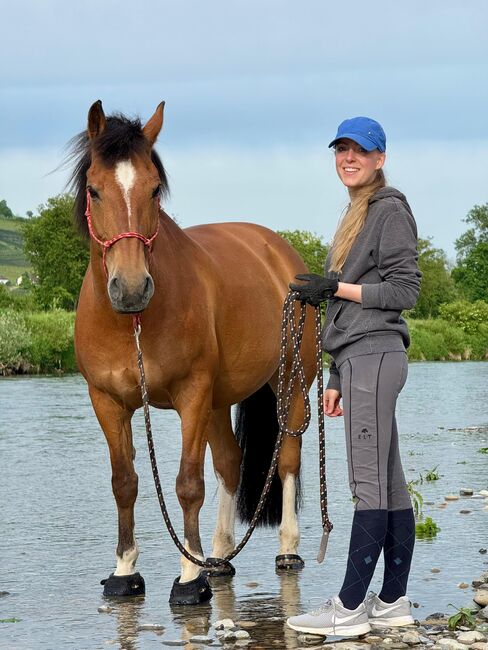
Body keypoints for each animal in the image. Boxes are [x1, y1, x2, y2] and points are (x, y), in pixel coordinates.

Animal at [70, 100, 317, 604]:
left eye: (153, 189)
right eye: (94, 190)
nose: (130, 288)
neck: (132, 323)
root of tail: (279, 251)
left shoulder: (191, 395)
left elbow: (187, 485)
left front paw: (188, 578)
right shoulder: (107, 401)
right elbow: (124, 483)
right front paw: (124, 571)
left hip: (289, 384)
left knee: (286, 459)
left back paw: (285, 549)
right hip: (220, 399)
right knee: (230, 464)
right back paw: (218, 558)